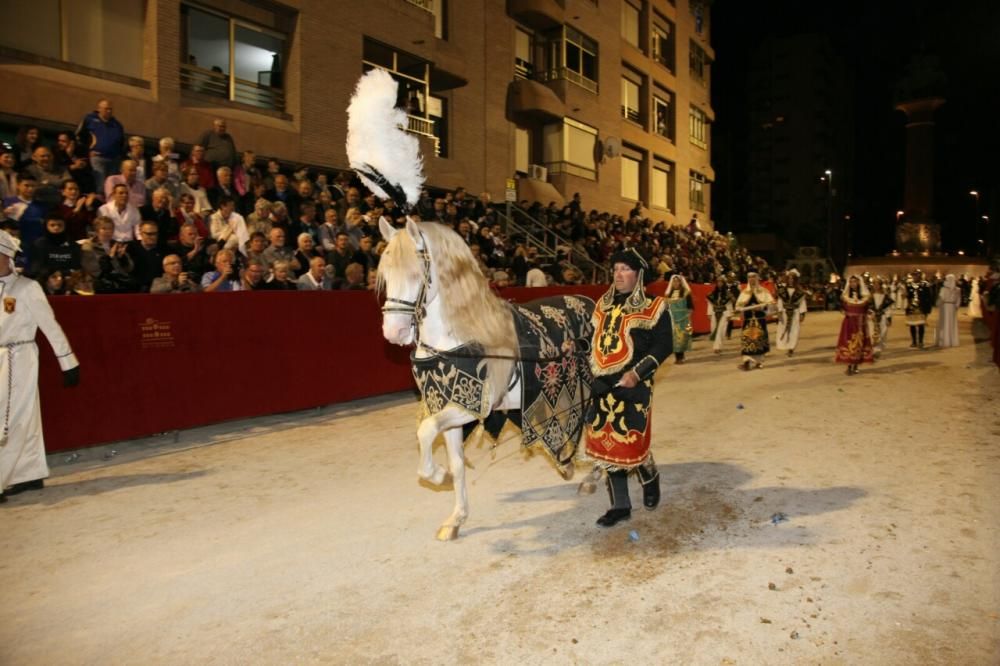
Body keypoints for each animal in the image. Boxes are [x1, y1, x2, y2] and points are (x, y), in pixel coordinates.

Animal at [376, 218, 592, 540]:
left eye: (417, 273)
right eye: (386, 274)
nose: (394, 332)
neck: (457, 340)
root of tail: (589, 300)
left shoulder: (474, 405)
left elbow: (425, 431)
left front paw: (437, 475)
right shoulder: (451, 408)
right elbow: (455, 462)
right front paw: (456, 516)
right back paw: (569, 464)